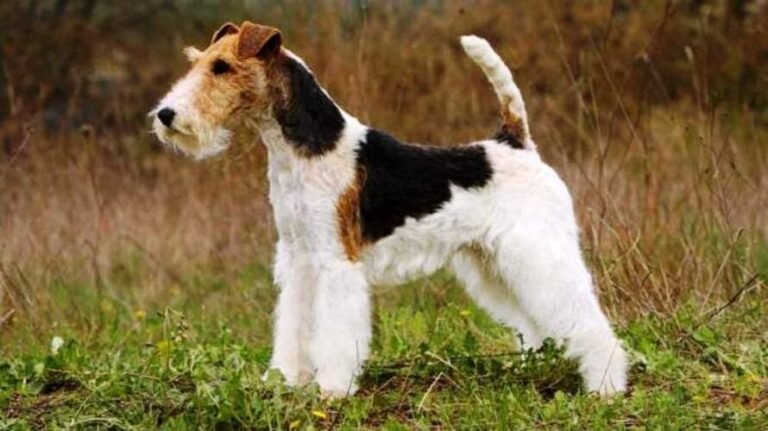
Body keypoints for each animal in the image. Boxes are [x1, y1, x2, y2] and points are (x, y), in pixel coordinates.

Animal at [153, 21, 628, 398]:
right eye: (198, 62)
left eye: (221, 67)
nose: (166, 114)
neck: (304, 150)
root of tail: (515, 142)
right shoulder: (299, 257)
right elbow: (293, 326)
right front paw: (286, 379)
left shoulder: (335, 261)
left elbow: (335, 333)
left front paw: (332, 388)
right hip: (493, 262)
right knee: (535, 322)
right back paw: (537, 365)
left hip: (537, 252)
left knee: (585, 319)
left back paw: (606, 385)